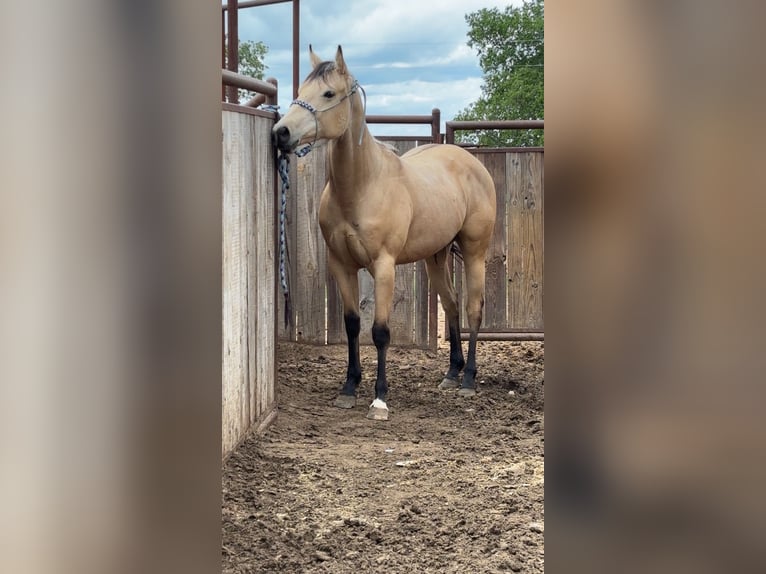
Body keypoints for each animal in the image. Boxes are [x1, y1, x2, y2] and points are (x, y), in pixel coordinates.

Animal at [273, 46, 496, 421]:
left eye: (328, 93)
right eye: (301, 89)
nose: (281, 132)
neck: (362, 186)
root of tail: (471, 162)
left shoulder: (384, 266)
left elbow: (379, 332)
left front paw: (379, 398)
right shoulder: (341, 265)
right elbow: (352, 325)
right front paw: (349, 387)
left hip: (474, 250)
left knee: (473, 308)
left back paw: (467, 379)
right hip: (435, 257)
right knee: (450, 305)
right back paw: (451, 373)